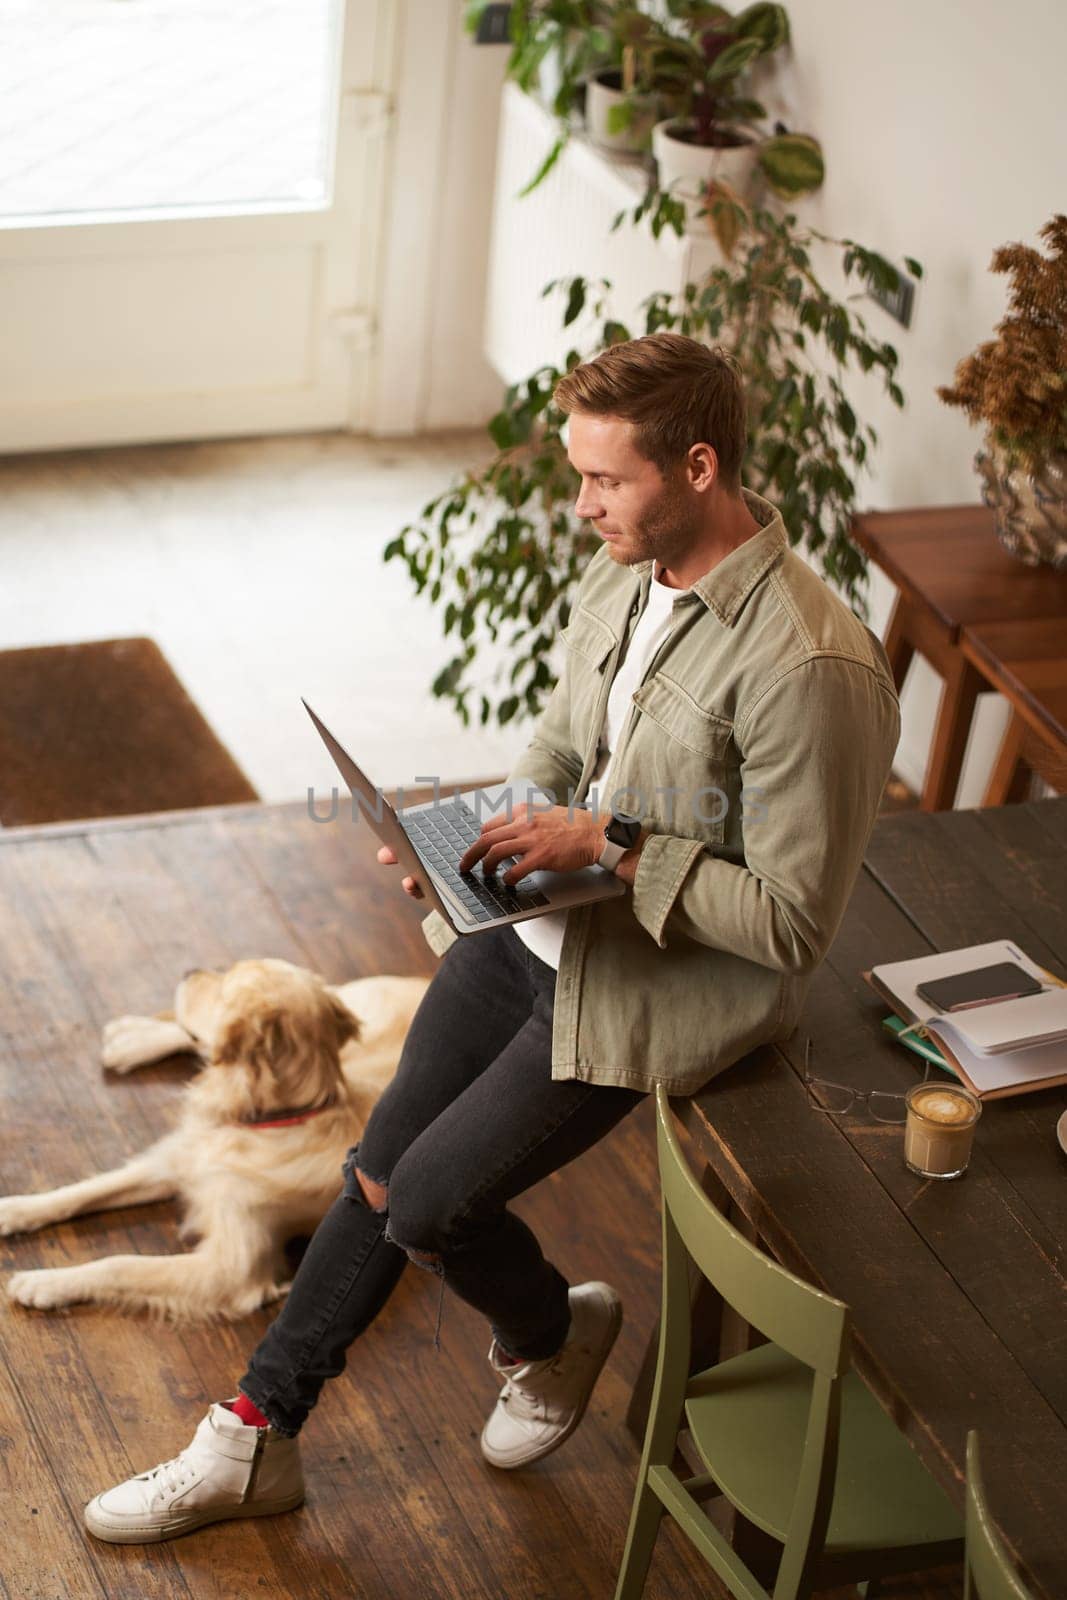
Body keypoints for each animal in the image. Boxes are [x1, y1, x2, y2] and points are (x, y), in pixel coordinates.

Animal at [1, 953, 425, 1318]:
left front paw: (44, 1283)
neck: (273, 1121)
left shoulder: (229, 1268)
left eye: (223, 989)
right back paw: (130, 1040)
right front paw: (12, 1210)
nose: (189, 970)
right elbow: (80, 1193)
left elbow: (122, 1263)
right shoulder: (182, 1159)